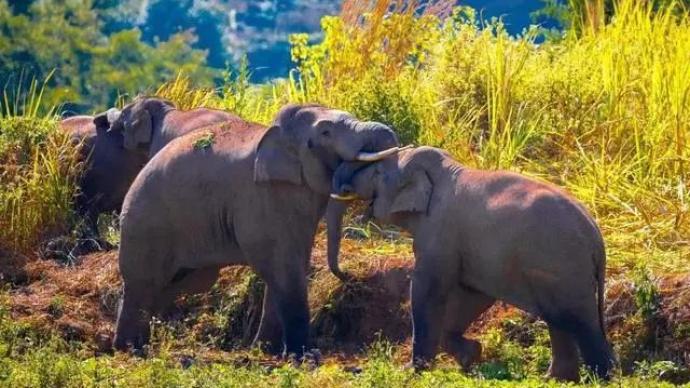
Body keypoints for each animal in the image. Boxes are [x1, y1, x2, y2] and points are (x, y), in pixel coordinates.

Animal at [112, 104, 404, 358]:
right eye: (326, 132)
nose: (350, 277)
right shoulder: (261, 197)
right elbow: (280, 265)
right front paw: (303, 355)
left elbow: (293, 262)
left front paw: (266, 351)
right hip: (146, 224)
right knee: (143, 283)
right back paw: (129, 350)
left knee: (175, 284)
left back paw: (140, 344)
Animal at [328, 146, 612, 382]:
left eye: (377, 173)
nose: (349, 276)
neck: (444, 169)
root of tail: (596, 237)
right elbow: (474, 295)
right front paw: (471, 356)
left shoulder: (439, 233)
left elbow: (426, 289)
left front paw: (413, 371)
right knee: (558, 319)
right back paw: (556, 380)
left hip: (565, 268)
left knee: (580, 321)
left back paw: (601, 379)